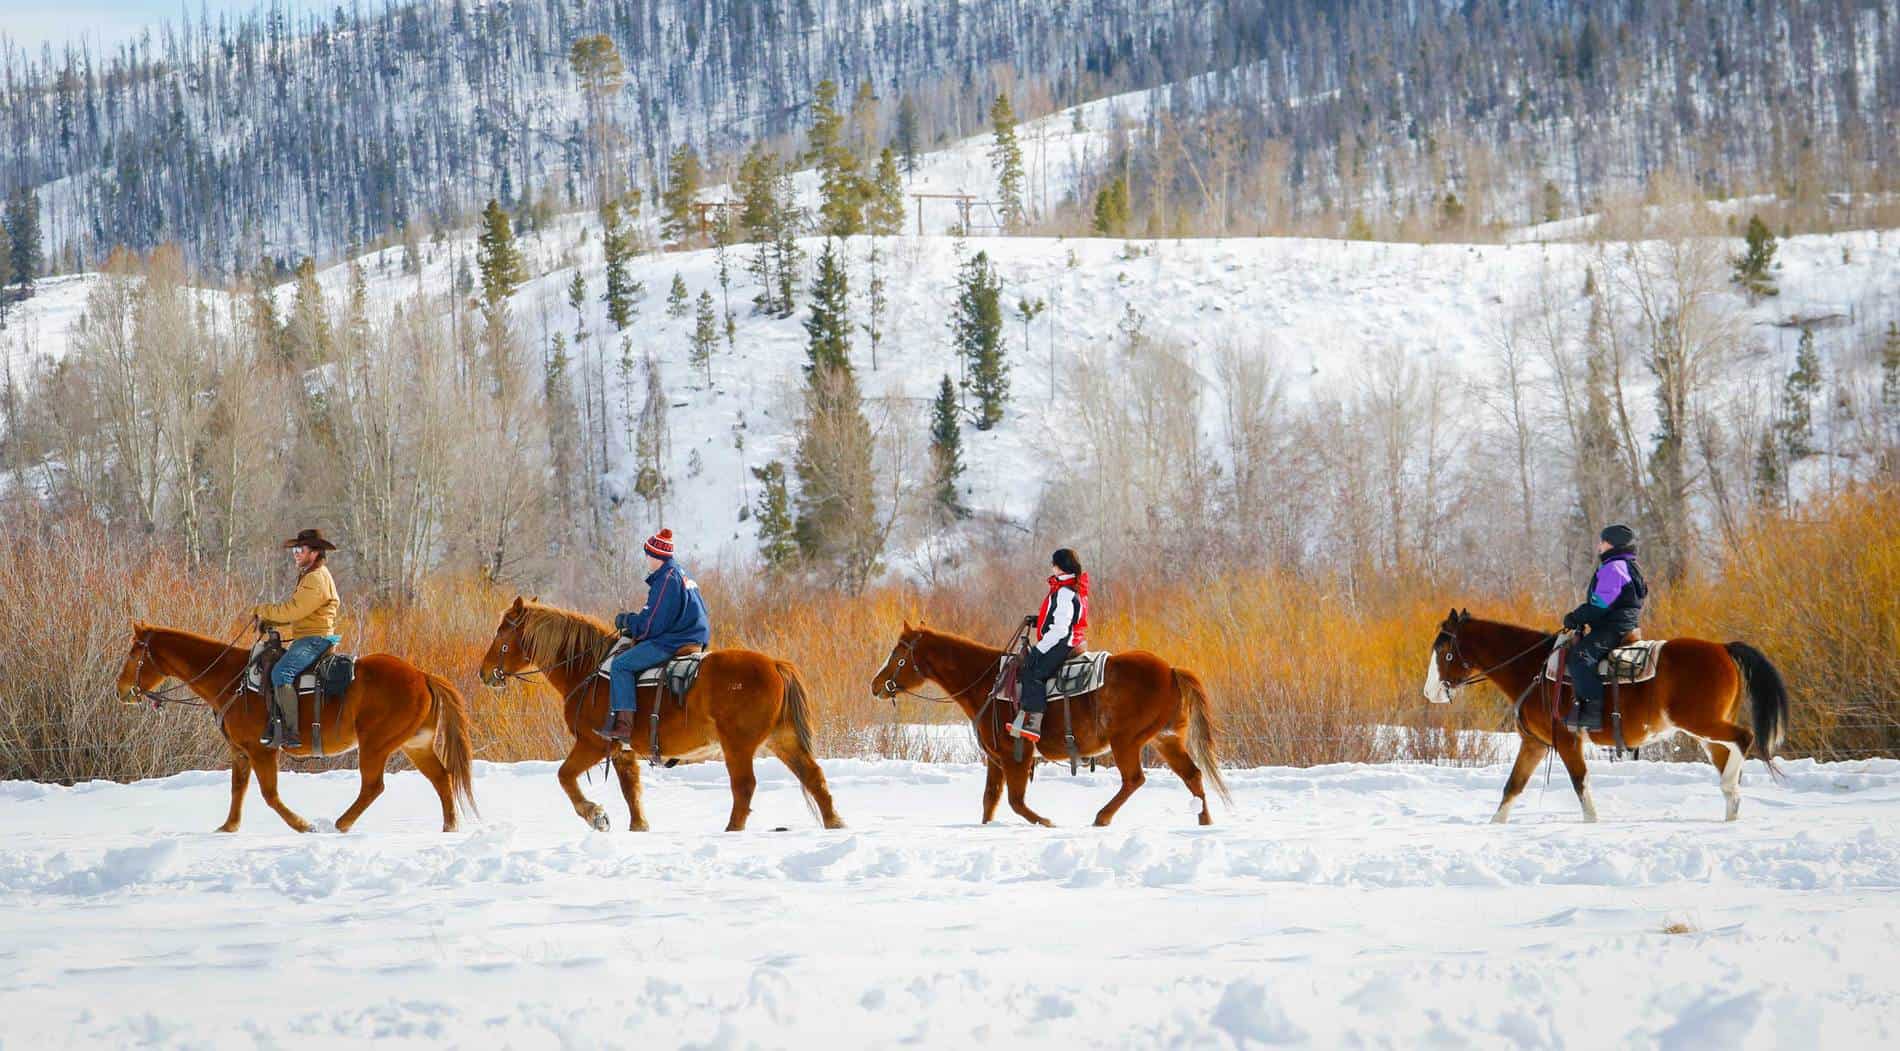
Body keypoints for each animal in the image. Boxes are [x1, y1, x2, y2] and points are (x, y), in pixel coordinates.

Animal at [115, 619, 478, 832]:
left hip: (376, 745)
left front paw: (303, 825)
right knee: (441, 778)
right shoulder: (240, 753)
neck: (231, 680)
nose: (121, 690)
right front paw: (227, 828)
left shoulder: (262, 751)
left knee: (374, 787)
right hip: (415, 744)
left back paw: (340, 824)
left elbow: (270, 794)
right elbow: (237, 789)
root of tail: (422, 675)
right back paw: (449, 827)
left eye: (134, 653)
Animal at [478, 592, 843, 832]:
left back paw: (732, 831)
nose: (484, 672)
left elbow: (565, 776)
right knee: (813, 777)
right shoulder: (622, 752)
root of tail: (775, 664)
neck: (588, 667)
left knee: (744, 786)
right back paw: (834, 822)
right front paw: (638, 827)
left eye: (502, 631)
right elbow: (631, 792)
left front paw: (596, 815)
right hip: (784, 739)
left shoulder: (593, 743)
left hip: (738, 745)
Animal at [870, 619, 1231, 824]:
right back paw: (1204, 820)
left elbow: (1016, 802)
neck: (988, 682)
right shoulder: (996, 760)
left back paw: (1101, 817)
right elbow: (989, 803)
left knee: (1134, 779)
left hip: (1126, 741)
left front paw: (1047, 823)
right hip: (1165, 739)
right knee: (1193, 775)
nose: (875, 685)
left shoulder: (1016, 756)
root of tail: (1170, 670)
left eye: (898, 655)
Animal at [1428, 611, 1793, 824]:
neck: (1533, 668)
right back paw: (1731, 809)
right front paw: (1495, 826)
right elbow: (1513, 786)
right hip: (1705, 730)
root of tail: (1723, 648)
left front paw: (1592, 823)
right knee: (1728, 752)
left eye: (1446, 653)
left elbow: (1580, 782)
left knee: (1744, 738)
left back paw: (1730, 789)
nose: (1431, 693)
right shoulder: (1535, 744)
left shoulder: (1568, 740)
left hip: (1702, 722)